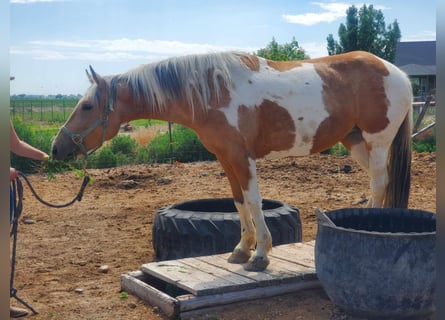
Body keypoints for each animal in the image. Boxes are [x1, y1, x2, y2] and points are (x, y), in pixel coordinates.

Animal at [51, 50, 410, 270]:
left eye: (87, 106)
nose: (56, 148)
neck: (211, 92)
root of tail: (397, 72)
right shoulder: (225, 158)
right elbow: (238, 202)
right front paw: (241, 248)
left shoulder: (242, 156)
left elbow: (253, 200)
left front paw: (261, 253)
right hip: (355, 141)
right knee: (380, 181)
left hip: (377, 140)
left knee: (379, 182)